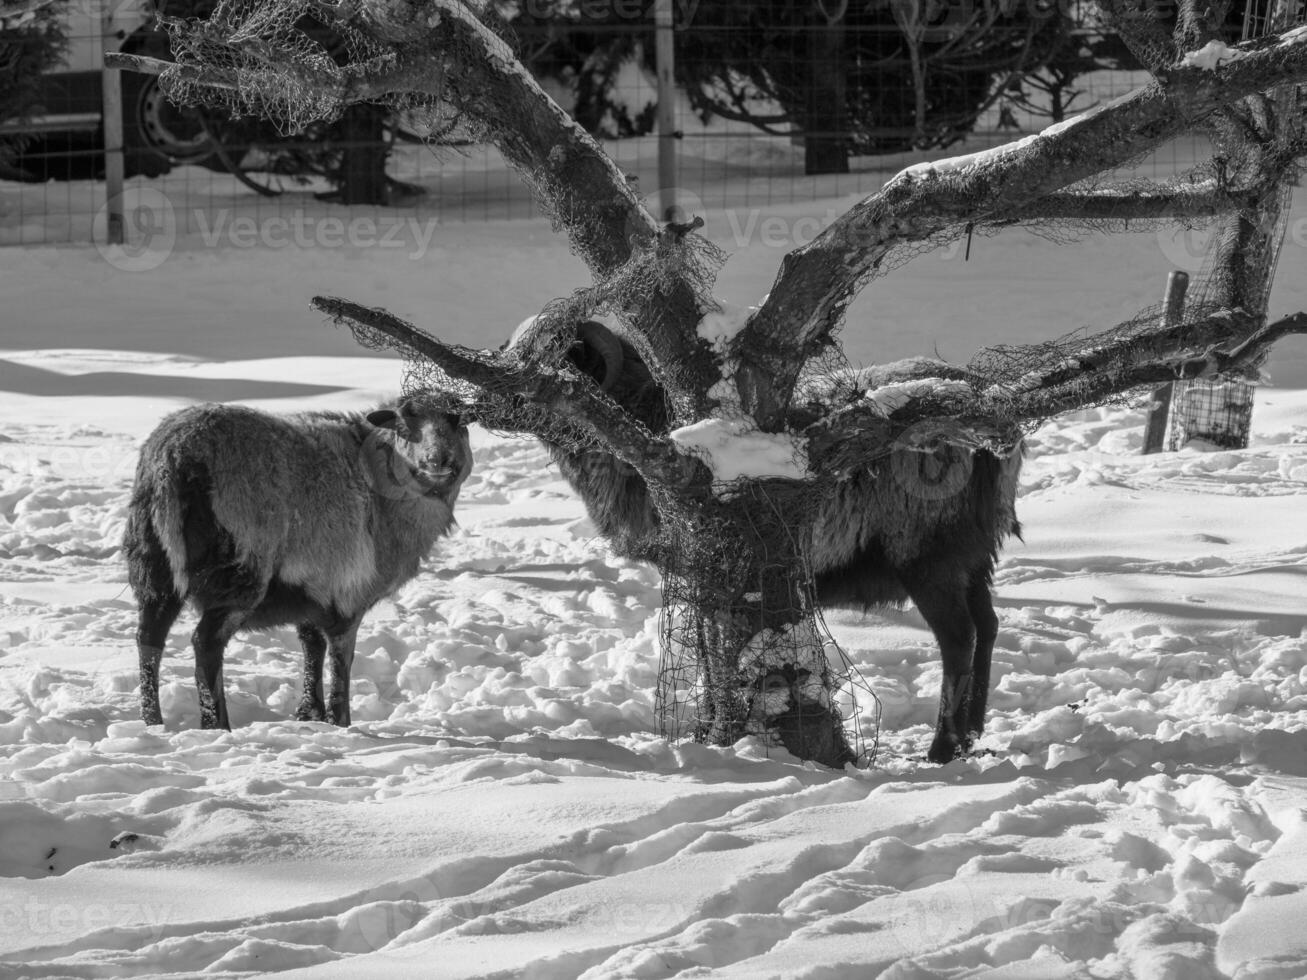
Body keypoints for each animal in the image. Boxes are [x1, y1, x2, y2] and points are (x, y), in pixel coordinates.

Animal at [120, 399, 473, 731]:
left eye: (458, 422)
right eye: (403, 426)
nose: (437, 460)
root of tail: (176, 459)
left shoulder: (314, 588)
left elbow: (311, 646)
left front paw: (310, 712)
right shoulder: (350, 593)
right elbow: (341, 658)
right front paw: (339, 719)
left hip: (152, 562)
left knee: (148, 637)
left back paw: (152, 720)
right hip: (242, 567)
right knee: (205, 642)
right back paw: (216, 724)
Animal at [507, 322, 1019, 768]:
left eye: (561, 355)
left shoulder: (703, 566)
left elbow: (712, 650)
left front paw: (716, 727)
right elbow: (712, 649)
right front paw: (712, 725)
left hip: (927, 550)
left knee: (959, 637)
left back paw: (942, 748)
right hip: (974, 551)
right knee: (988, 626)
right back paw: (972, 734)